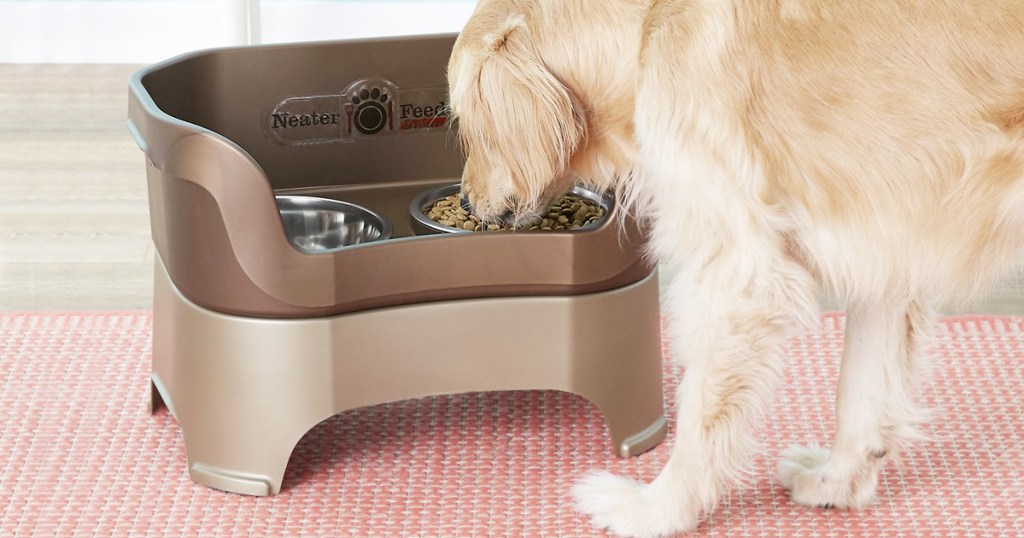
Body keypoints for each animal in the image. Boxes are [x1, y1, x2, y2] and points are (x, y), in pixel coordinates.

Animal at [446, 2, 1024, 532]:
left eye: (465, 124)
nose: (468, 203)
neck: (647, 34)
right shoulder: (882, 248)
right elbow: (860, 394)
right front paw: (836, 482)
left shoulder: (738, 276)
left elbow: (699, 414)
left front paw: (655, 509)